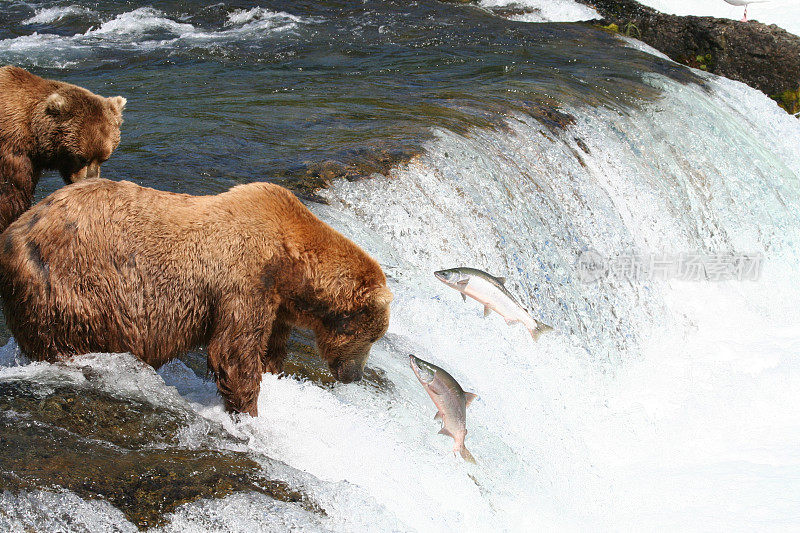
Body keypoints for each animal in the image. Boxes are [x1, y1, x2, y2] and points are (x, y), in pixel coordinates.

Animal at [0, 179, 390, 416]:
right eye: (372, 337)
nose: (354, 375)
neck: (289, 262)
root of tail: (17, 230)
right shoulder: (244, 280)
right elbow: (233, 352)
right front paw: (249, 413)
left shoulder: (275, 304)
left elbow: (269, 349)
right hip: (75, 285)